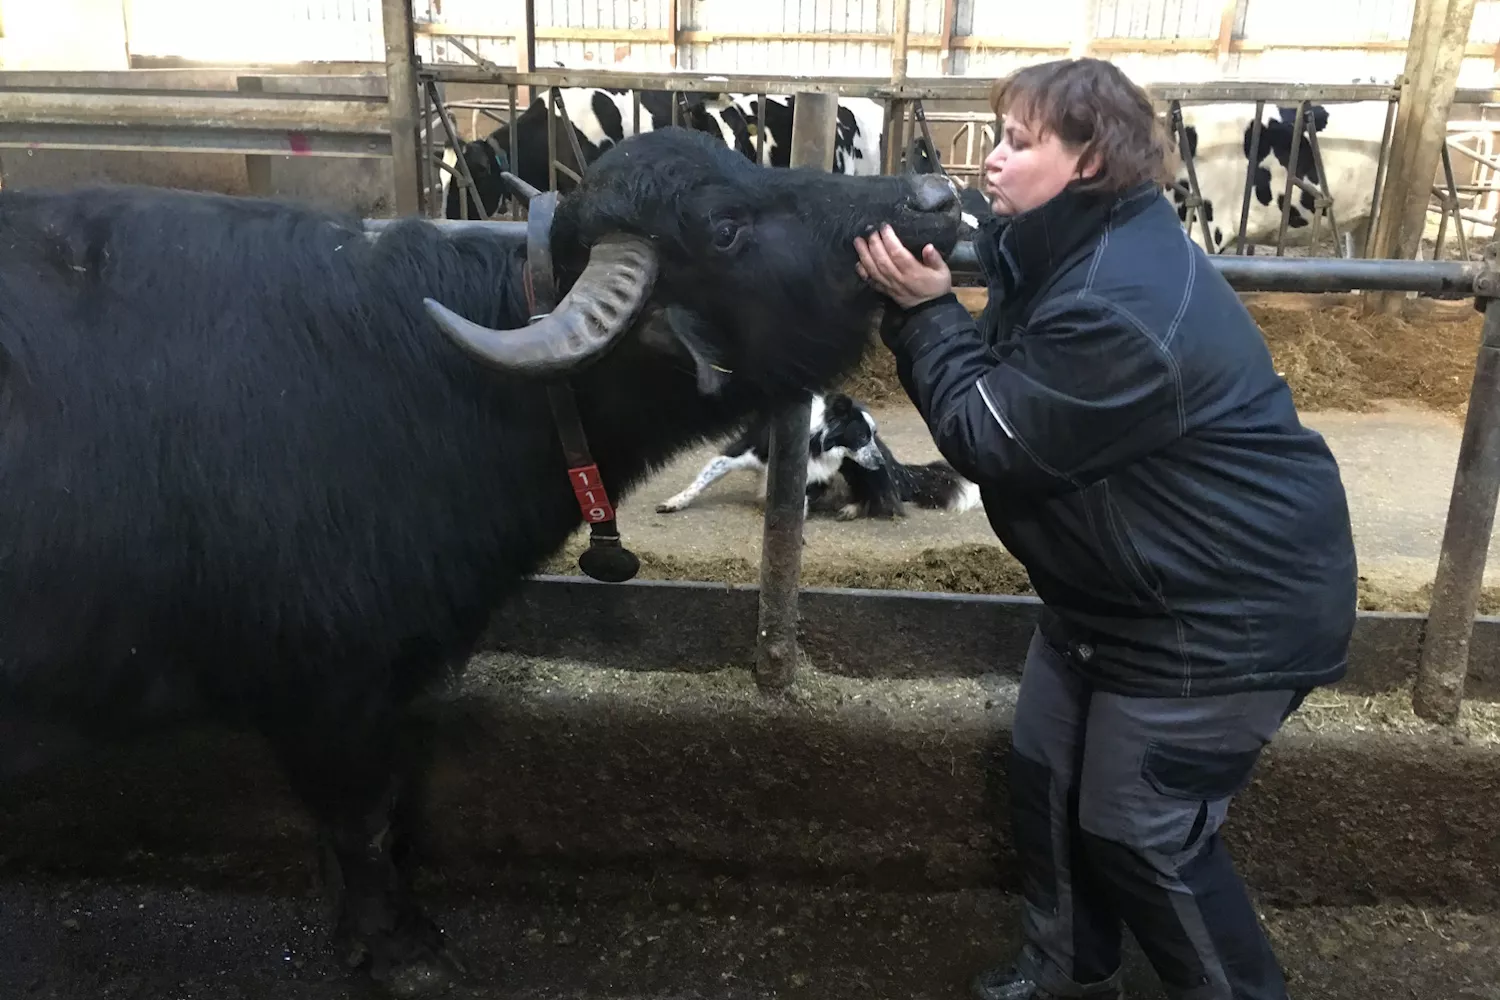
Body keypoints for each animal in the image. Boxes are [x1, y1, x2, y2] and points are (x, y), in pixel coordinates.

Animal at [657, 389, 984, 521]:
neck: (816, 440)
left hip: (858, 471)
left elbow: (801, 501)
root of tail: (895, 465)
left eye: (872, 434)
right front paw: (675, 502)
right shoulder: (743, 452)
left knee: (879, 498)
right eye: (862, 436)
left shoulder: (818, 479)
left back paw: (851, 509)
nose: (878, 461)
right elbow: (704, 477)